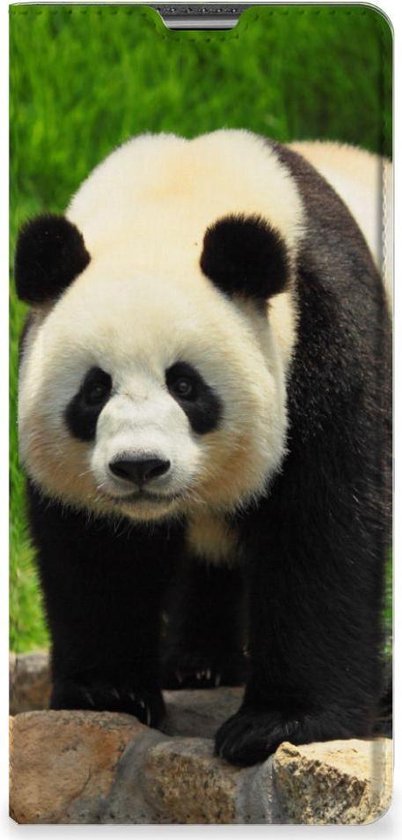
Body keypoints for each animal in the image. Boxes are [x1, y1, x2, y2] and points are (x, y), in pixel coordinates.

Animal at [15, 130, 391, 766]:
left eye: (186, 385)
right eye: (94, 390)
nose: (140, 466)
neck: (173, 200)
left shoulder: (327, 339)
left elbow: (322, 529)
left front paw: (278, 723)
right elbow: (97, 551)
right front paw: (108, 692)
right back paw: (198, 664)